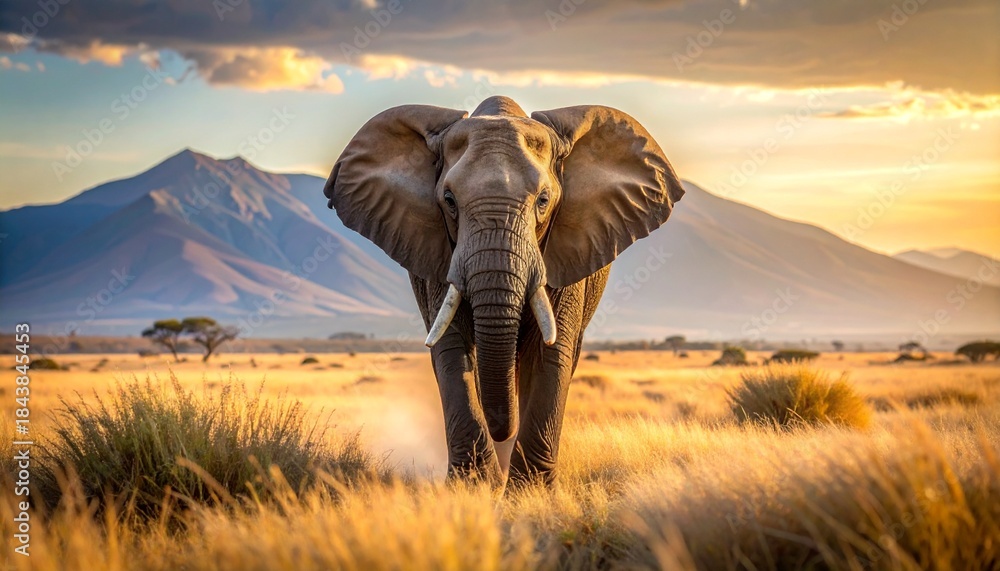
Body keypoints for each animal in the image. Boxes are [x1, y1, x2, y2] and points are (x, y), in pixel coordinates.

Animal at [324, 96, 684, 489]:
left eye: (543, 200)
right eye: (449, 200)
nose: (502, 430)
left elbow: (551, 352)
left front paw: (531, 493)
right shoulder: (439, 252)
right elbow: (452, 350)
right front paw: (474, 488)